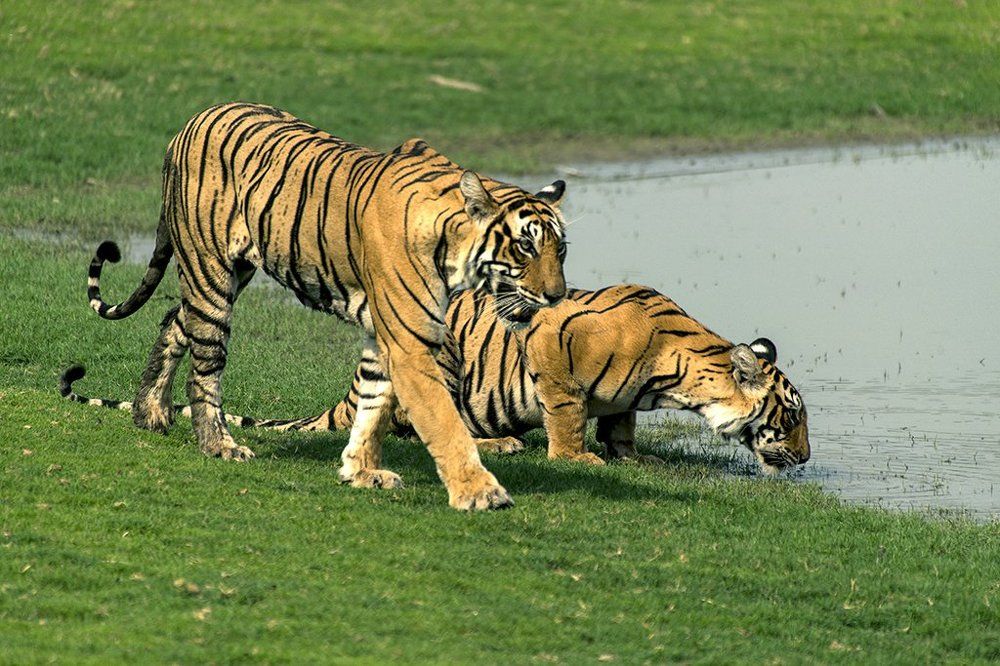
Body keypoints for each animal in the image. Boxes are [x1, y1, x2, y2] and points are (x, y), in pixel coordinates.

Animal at [65, 284, 810, 473]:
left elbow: (620, 422)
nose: (804, 460)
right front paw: (578, 457)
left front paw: (631, 457)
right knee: (414, 425)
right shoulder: (553, 348)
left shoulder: (624, 400)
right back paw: (502, 444)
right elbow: (568, 415)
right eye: (792, 418)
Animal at [78, 101, 570, 511]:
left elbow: (372, 406)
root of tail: (189, 123)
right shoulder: (411, 343)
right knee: (205, 368)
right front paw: (480, 492)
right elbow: (443, 422)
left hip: (230, 274)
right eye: (525, 246)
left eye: (560, 249)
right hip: (209, 272)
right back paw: (219, 445)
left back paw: (150, 412)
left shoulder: (384, 336)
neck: (453, 247)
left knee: (174, 320)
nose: (557, 296)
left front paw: (360, 471)